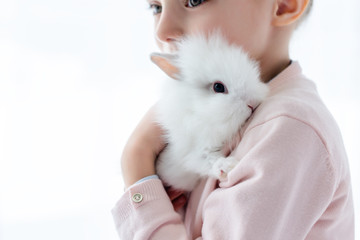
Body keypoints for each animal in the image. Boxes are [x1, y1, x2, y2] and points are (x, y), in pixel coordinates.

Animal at [150, 31, 268, 191]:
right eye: (218, 87)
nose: (252, 104)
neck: (197, 111)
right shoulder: (193, 151)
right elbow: (207, 160)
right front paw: (227, 166)